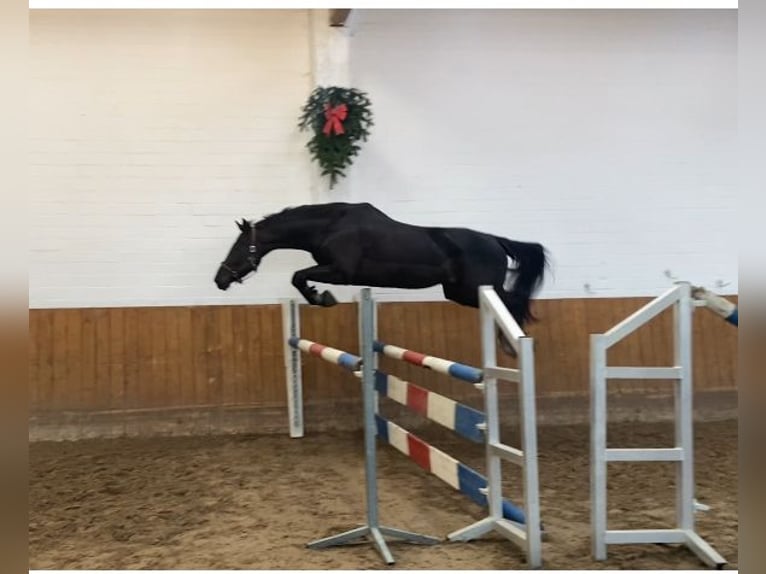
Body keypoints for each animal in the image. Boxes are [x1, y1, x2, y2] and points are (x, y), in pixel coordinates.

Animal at [214, 202, 549, 354]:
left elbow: (299, 276)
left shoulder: (342, 272)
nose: (220, 279)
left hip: (474, 290)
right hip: (458, 292)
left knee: (513, 302)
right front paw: (320, 296)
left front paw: (322, 297)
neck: (330, 227)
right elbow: (299, 277)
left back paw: (515, 340)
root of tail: (495, 241)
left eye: (239, 247)